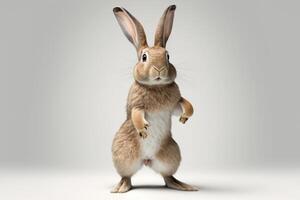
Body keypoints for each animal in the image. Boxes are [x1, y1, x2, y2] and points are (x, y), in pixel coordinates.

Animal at [110, 4, 197, 192]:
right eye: (144, 57)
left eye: (168, 56)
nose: (159, 69)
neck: (156, 87)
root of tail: (147, 160)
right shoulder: (137, 105)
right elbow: (136, 115)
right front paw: (143, 129)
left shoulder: (174, 105)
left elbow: (185, 104)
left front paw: (185, 117)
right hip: (124, 155)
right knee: (126, 176)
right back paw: (120, 188)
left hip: (171, 155)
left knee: (168, 176)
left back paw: (183, 185)